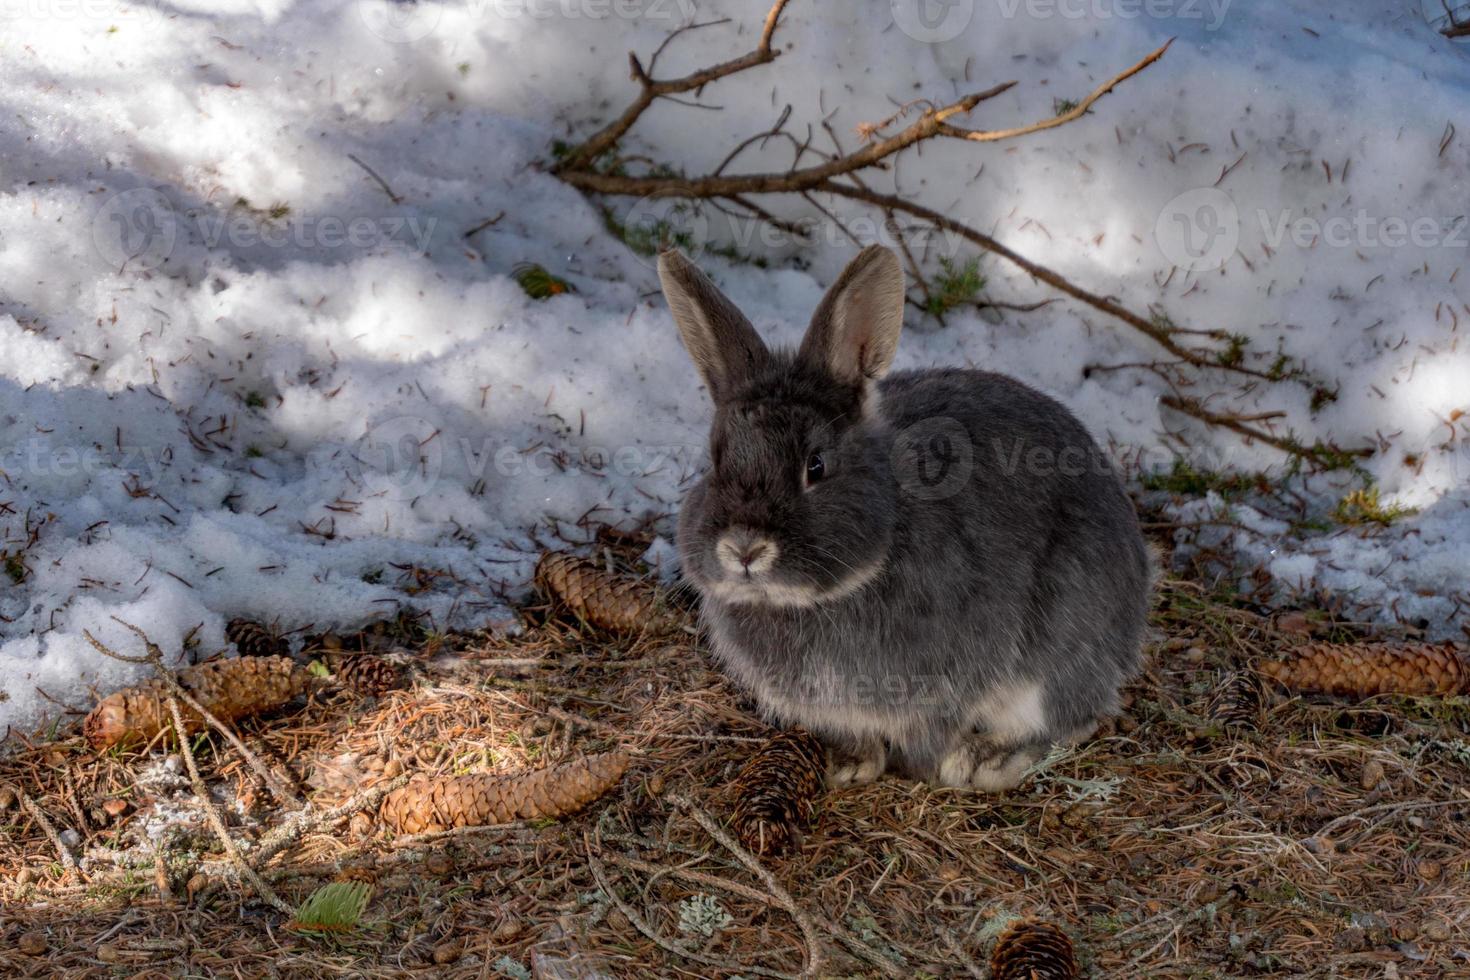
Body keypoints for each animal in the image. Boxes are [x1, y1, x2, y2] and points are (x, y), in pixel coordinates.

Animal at [661, 245, 1152, 787]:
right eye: (715, 461)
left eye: (816, 465)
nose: (744, 548)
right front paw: (850, 764)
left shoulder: (944, 686)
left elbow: (932, 734)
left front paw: (927, 767)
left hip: (1059, 646)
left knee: (1071, 719)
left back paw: (987, 759)